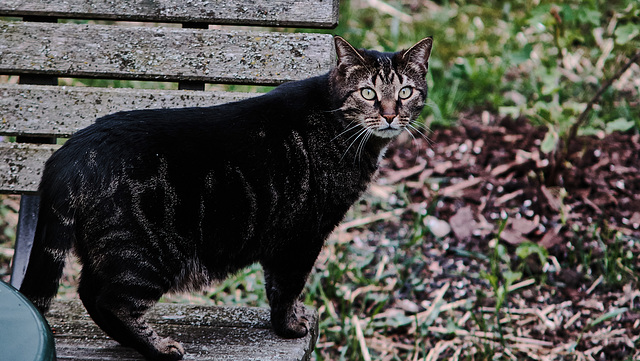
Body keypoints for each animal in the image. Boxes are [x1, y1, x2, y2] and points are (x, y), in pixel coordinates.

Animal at [20, 35, 432, 358]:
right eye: (368, 93)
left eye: (405, 92)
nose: (390, 115)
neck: (340, 127)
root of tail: (66, 155)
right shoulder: (303, 235)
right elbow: (287, 287)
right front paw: (291, 327)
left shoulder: (282, 236)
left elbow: (275, 287)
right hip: (143, 256)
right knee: (111, 302)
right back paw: (160, 348)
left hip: (107, 252)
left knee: (90, 294)